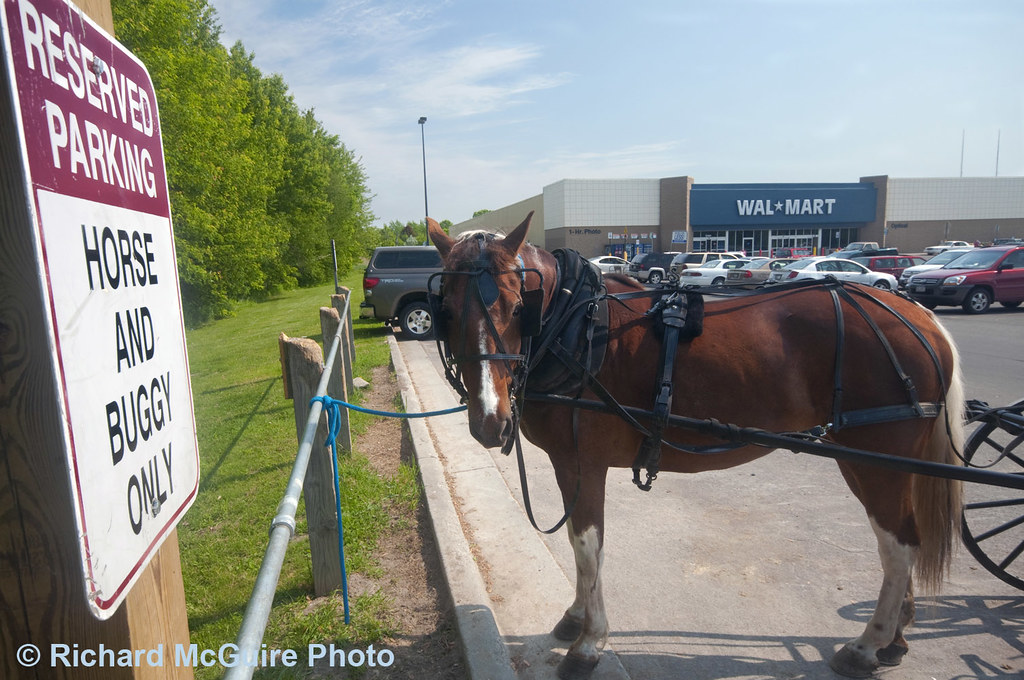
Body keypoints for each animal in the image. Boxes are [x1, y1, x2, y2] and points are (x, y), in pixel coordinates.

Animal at [426, 213, 964, 679]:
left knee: (898, 546)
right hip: (871, 462)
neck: (576, 326)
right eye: (446, 311)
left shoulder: (584, 463)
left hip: (877, 463)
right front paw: (576, 617)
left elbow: (587, 546)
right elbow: (580, 546)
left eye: (519, 308)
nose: (490, 422)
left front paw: (589, 642)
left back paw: (868, 643)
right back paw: (895, 638)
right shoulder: (566, 465)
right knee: (901, 540)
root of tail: (918, 315)